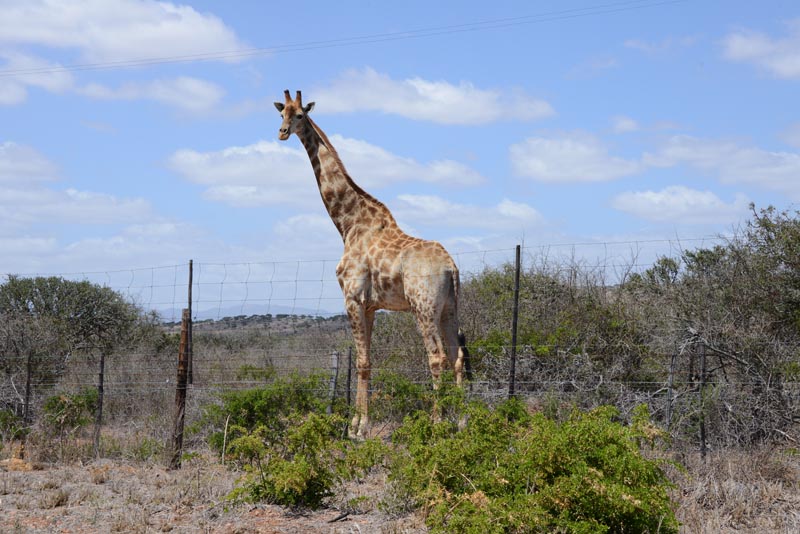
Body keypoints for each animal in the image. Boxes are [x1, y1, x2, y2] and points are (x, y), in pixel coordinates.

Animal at [274, 90, 470, 438]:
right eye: (281, 112)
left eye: (300, 115)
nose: (282, 132)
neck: (348, 223)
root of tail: (451, 268)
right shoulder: (371, 306)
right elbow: (367, 361)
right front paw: (357, 423)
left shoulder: (352, 298)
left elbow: (362, 361)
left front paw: (359, 429)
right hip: (450, 306)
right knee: (456, 355)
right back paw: (460, 421)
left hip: (423, 306)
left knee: (436, 356)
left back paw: (436, 424)